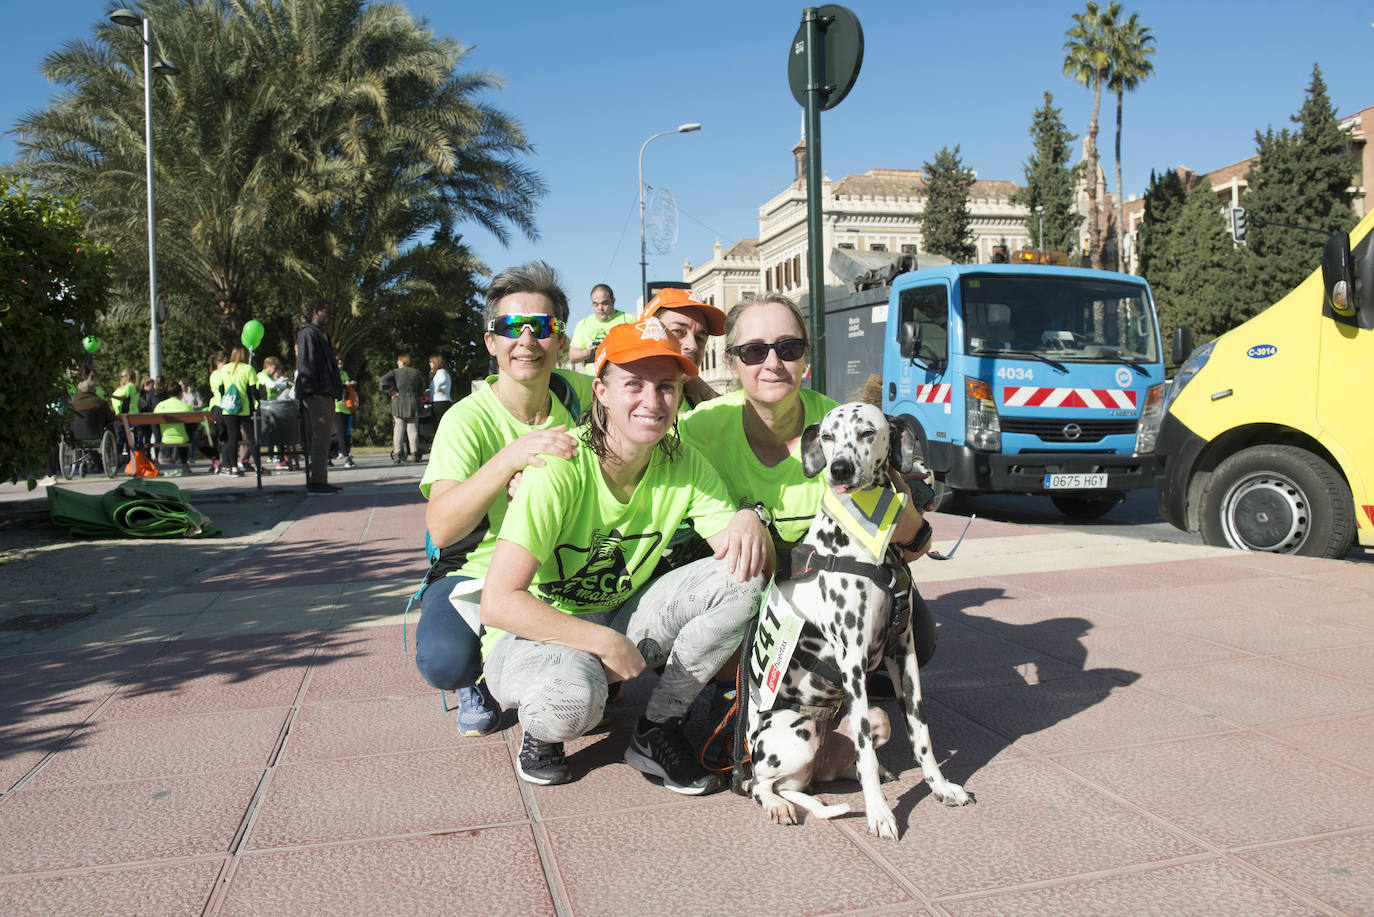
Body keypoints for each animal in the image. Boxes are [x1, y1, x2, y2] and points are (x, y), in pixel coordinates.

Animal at [747, 401, 972, 841]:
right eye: (828, 436)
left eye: (868, 432)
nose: (839, 469)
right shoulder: (852, 662)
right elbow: (866, 750)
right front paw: (880, 814)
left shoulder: (904, 656)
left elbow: (922, 736)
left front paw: (940, 787)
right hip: (794, 733)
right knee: (758, 784)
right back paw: (779, 804)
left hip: (860, 728)